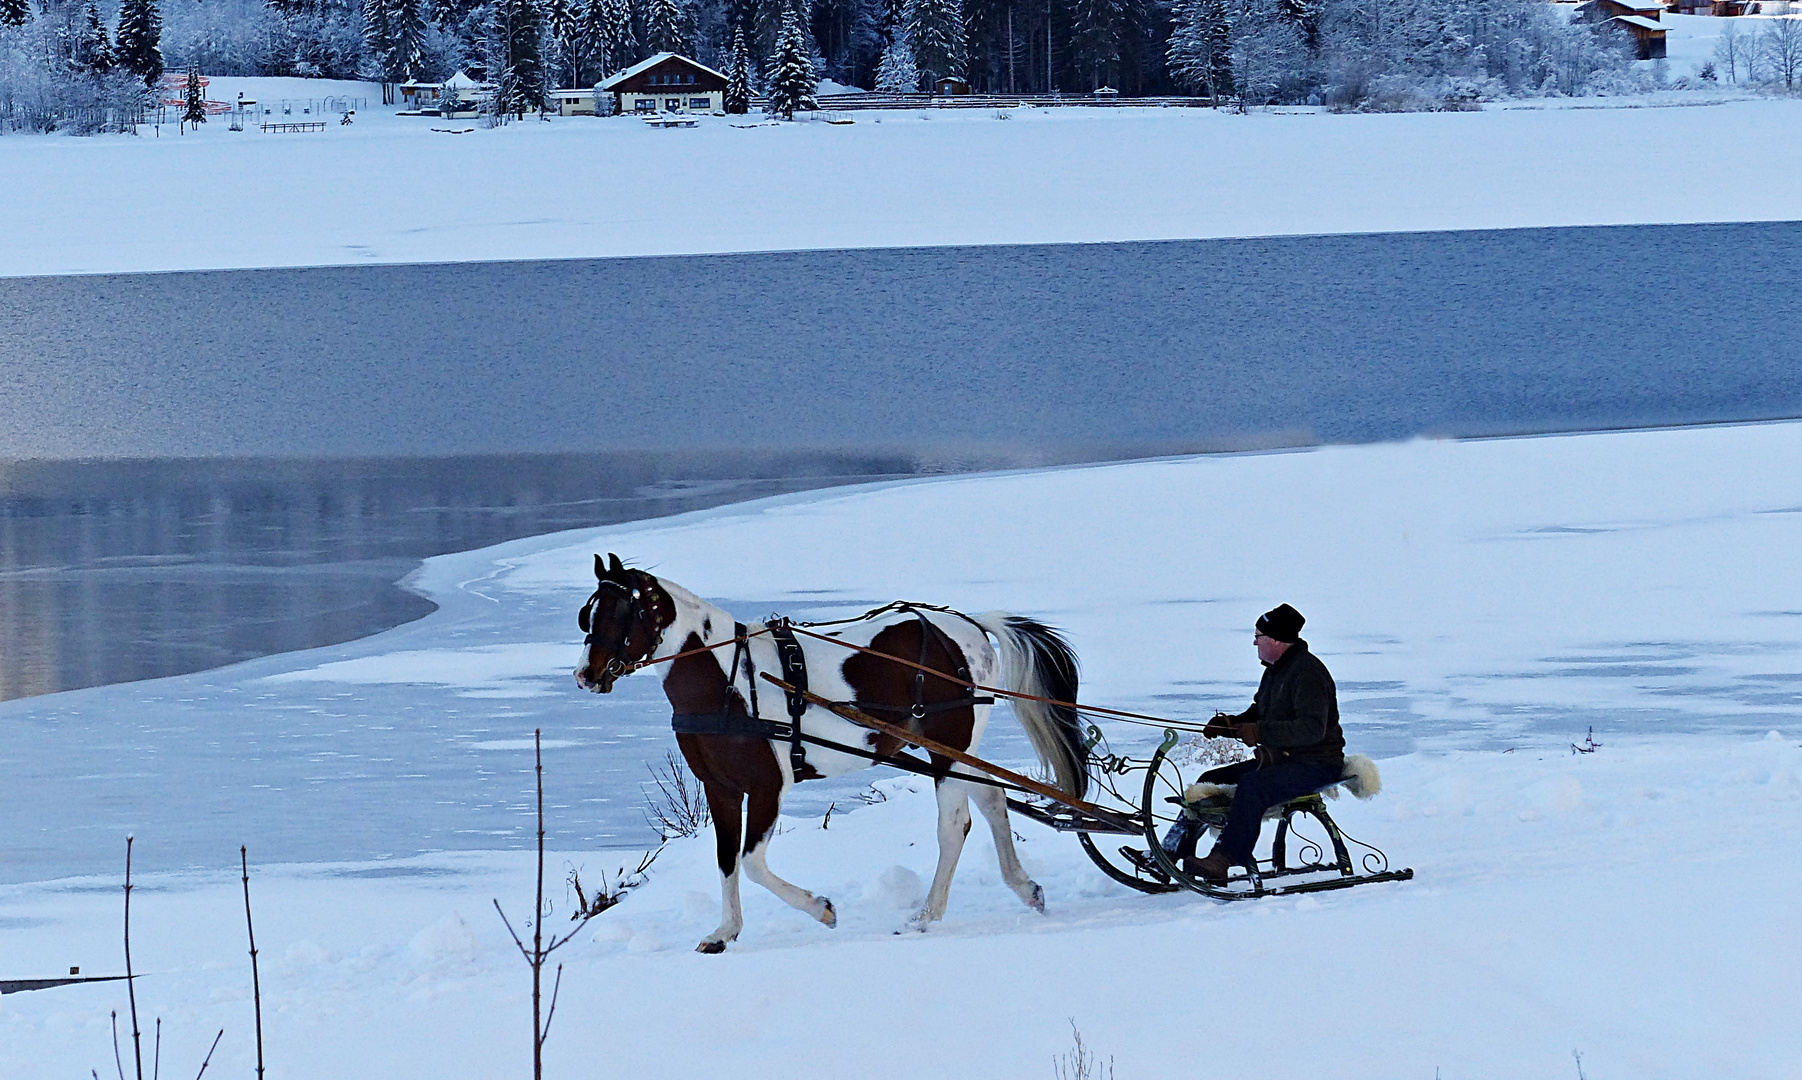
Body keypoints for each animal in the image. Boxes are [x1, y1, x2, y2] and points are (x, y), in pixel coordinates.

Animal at [576, 558, 1081, 951]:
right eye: (588, 614)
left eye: (620, 612)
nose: (585, 674)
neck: (728, 680)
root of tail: (971, 626)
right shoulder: (721, 790)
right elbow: (726, 859)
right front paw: (724, 931)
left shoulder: (768, 786)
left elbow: (752, 863)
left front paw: (821, 908)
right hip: (957, 752)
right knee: (993, 801)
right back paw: (1024, 888)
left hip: (950, 748)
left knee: (954, 827)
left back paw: (926, 916)